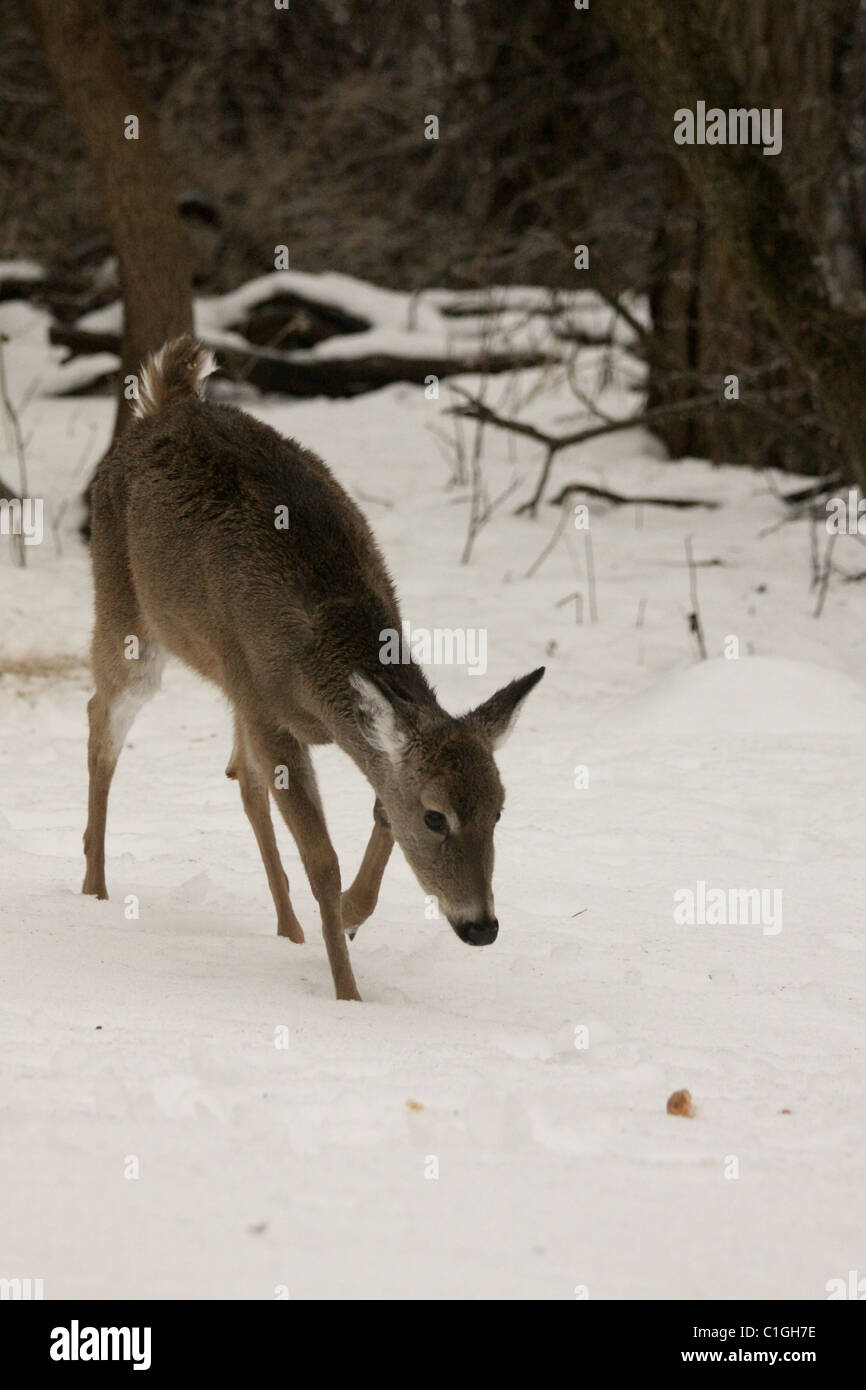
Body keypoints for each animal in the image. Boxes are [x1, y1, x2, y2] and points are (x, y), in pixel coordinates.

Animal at [82, 336, 545, 1001]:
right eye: (436, 815)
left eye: (500, 810)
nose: (482, 927)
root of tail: (166, 401)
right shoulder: (268, 709)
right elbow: (321, 858)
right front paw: (347, 994)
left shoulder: (275, 708)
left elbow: (377, 808)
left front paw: (349, 916)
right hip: (128, 614)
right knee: (103, 718)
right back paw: (94, 888)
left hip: (225, 680)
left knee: (239, 777)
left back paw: (289, 927)